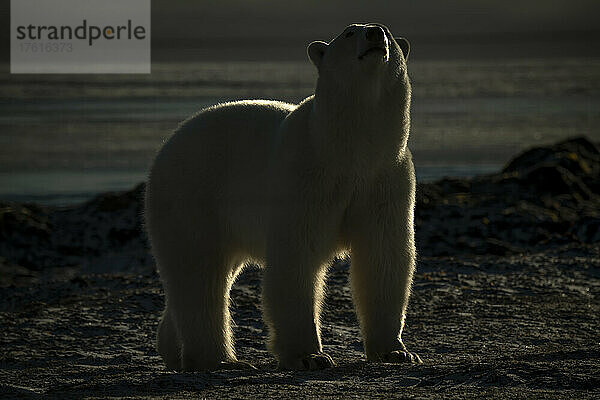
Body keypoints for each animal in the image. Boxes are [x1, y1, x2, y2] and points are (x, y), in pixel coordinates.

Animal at [145, 23, 420, 370]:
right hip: (192, 194)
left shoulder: (385, 178)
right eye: (349, 32)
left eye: (388, 32)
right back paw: (221, 360)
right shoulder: (305, 177)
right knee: (199, 274)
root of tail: (167, 144)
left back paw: (176, 351)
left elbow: (383, 255)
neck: (345, 151)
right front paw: (309, 356)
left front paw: (397, 351)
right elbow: (296, 257)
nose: (374, 33)